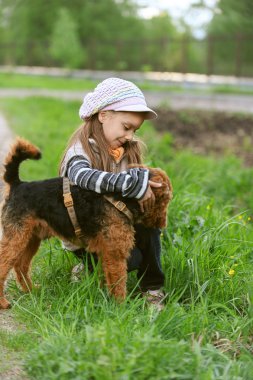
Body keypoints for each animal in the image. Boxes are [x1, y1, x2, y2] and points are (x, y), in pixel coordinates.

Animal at [0, 138, 172, 308]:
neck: (120, 200)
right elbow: (118, 284)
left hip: (30, 239)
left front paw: (107, 300)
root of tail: (17, 184)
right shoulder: (115, 254)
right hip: (16, 238)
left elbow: (108, 279)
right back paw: (4, 302)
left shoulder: (106, 253)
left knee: (21, 265)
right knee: (6, 266)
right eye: (167, 198)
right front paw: (121, 308)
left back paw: (31, 290)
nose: (161, 224)